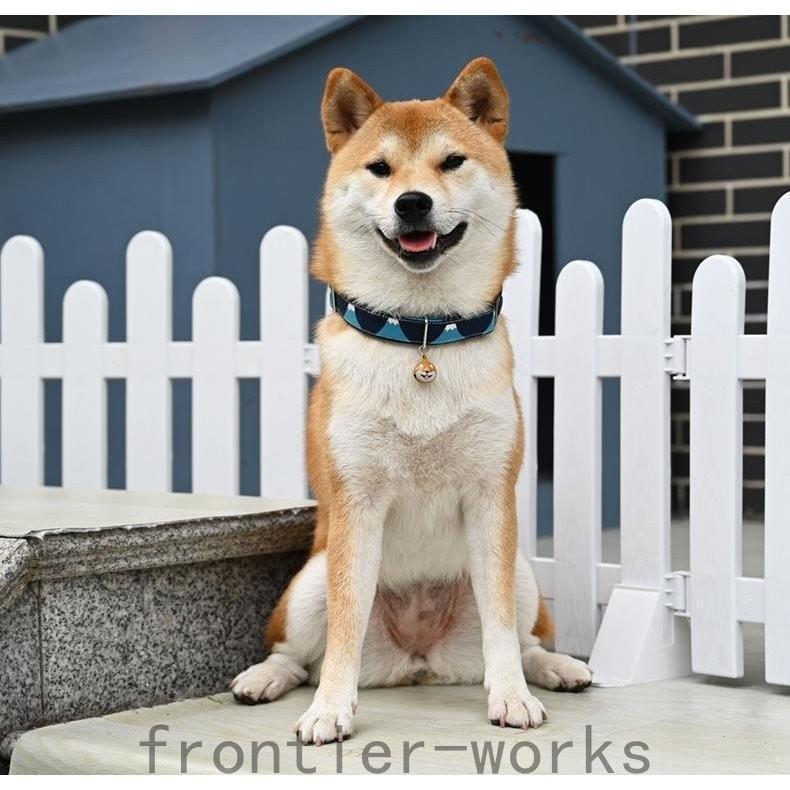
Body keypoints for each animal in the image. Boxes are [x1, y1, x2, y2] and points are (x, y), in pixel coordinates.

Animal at [232, 58, 592, 744]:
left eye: (451, 162)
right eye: (380, 168)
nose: (413, 201)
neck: (421, 335)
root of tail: (418, 659)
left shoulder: (490, 498)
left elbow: (502, 631)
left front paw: (512, 697)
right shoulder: (357, 505)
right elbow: (344, 629)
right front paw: (331, 710)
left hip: (523, 573)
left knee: (526, 639)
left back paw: (555, 668)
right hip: (309, 582)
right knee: (298, 656)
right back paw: (265, 679)